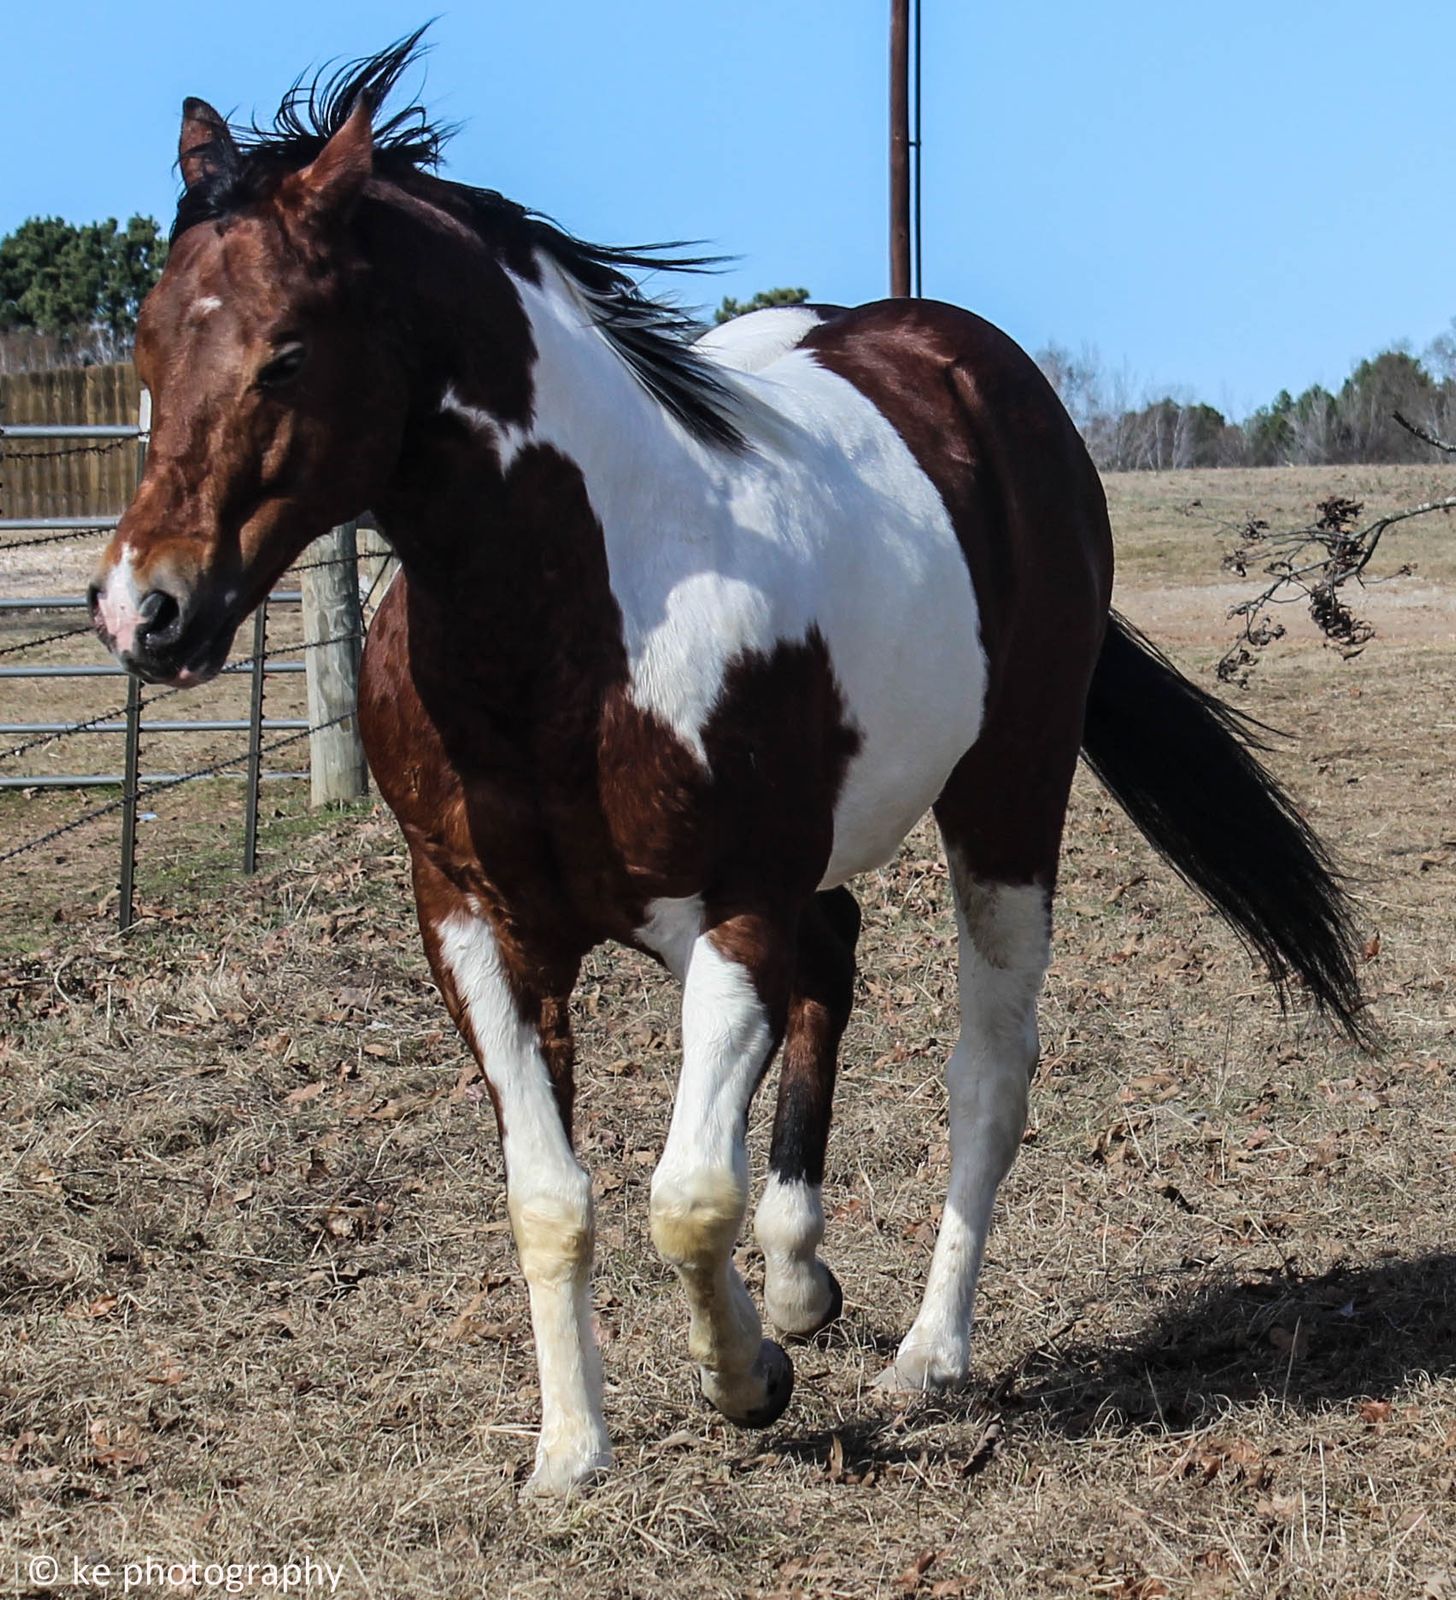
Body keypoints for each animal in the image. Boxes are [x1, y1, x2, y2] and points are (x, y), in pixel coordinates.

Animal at [89, 38, 1367, 1496]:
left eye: (287, 352)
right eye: (144, 342)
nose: (145, 610)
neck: (573, 626)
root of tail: (971, 365)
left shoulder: (735, 902)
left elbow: (686, 1197)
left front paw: (748, 1379)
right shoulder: (472, 922)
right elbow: (552, 1195)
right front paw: (572, 1452)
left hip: (1004, 797)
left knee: (986, 1069)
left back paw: (925, 1352)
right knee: (836, 959)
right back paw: (802, 1273)